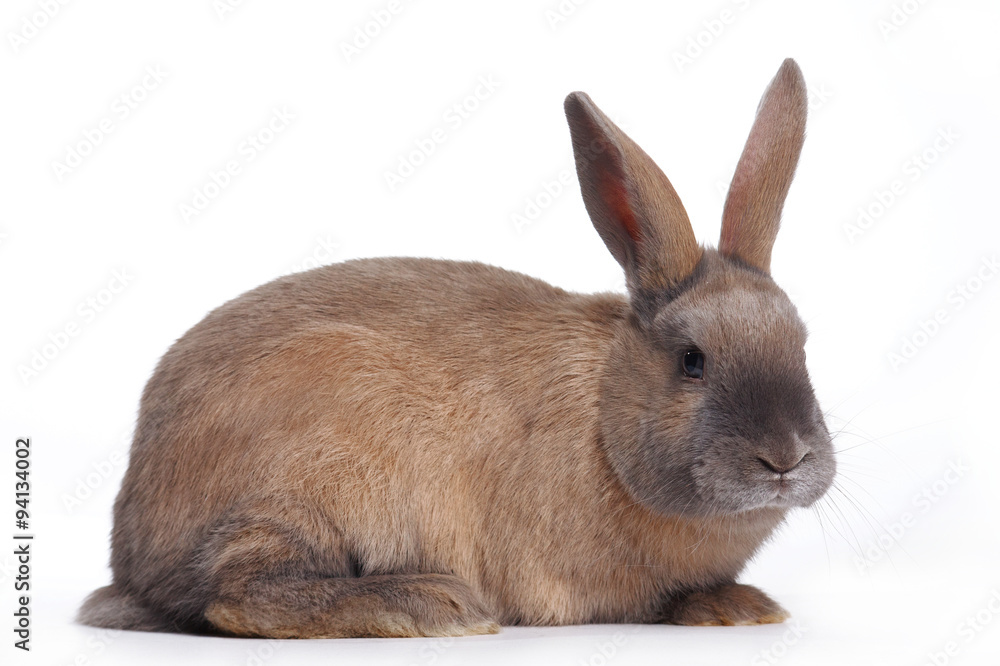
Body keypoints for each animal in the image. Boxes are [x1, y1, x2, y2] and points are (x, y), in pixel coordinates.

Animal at [79, 58, 835, 638]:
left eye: (802, 345)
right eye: (692, 360)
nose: (784, 458)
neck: (603, 416)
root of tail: (134, 553)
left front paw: (742, 608)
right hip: (311, 477)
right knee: (235, 597)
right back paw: (430, 606)